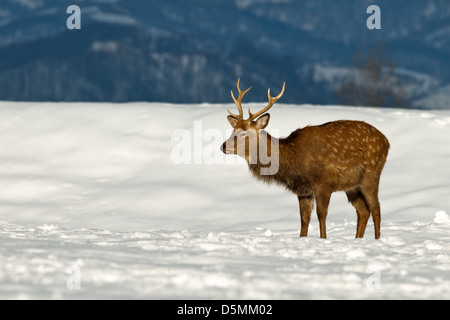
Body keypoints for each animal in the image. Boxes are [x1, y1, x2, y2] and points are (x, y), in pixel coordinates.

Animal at [220, 77, 388, 238]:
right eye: (233, 130)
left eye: (244, 133)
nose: (223, 146)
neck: (295, 164)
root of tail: (386, 141)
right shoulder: (303, 191)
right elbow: (304, 218)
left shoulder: (323, 183)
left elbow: (321, 215)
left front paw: (323, 239)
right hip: (352, 185)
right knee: (363, 211)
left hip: (371, 174)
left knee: (376, 208)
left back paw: (377, 240)